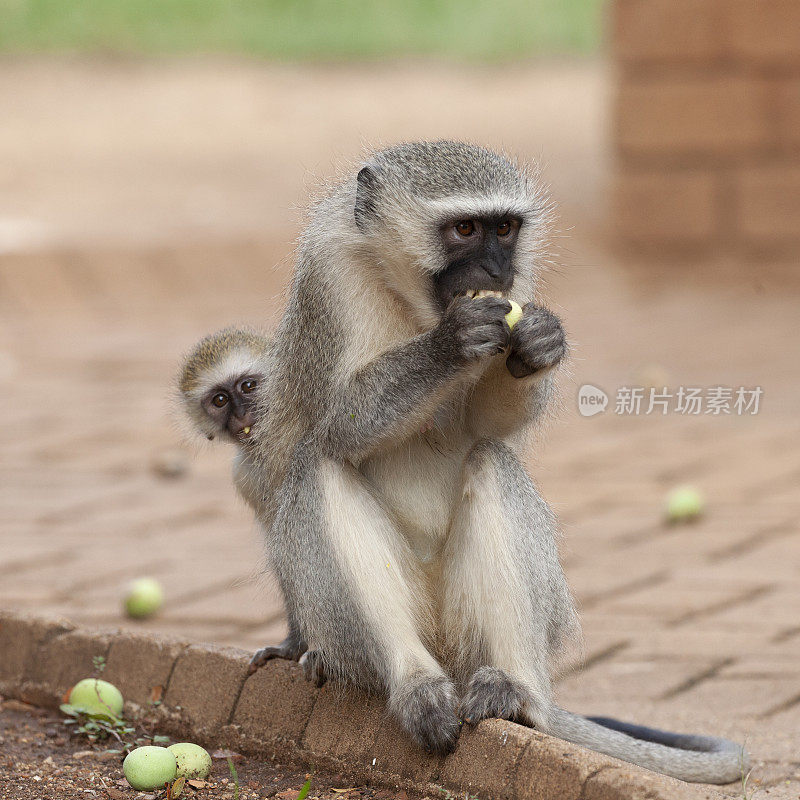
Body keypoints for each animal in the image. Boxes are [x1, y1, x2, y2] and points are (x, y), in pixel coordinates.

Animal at [242, 142, 744, 780]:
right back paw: (414, 683)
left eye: (504, 229)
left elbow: (486, 429)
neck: (409, 299)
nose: (494, 272)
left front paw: (539, 342)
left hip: (469, 629)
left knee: (492, 462)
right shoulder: (329, 276)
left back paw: (515, 694)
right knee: (321, 465)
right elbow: (340, 423)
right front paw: (453, 342)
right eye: (464, 230)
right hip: (364, 630)